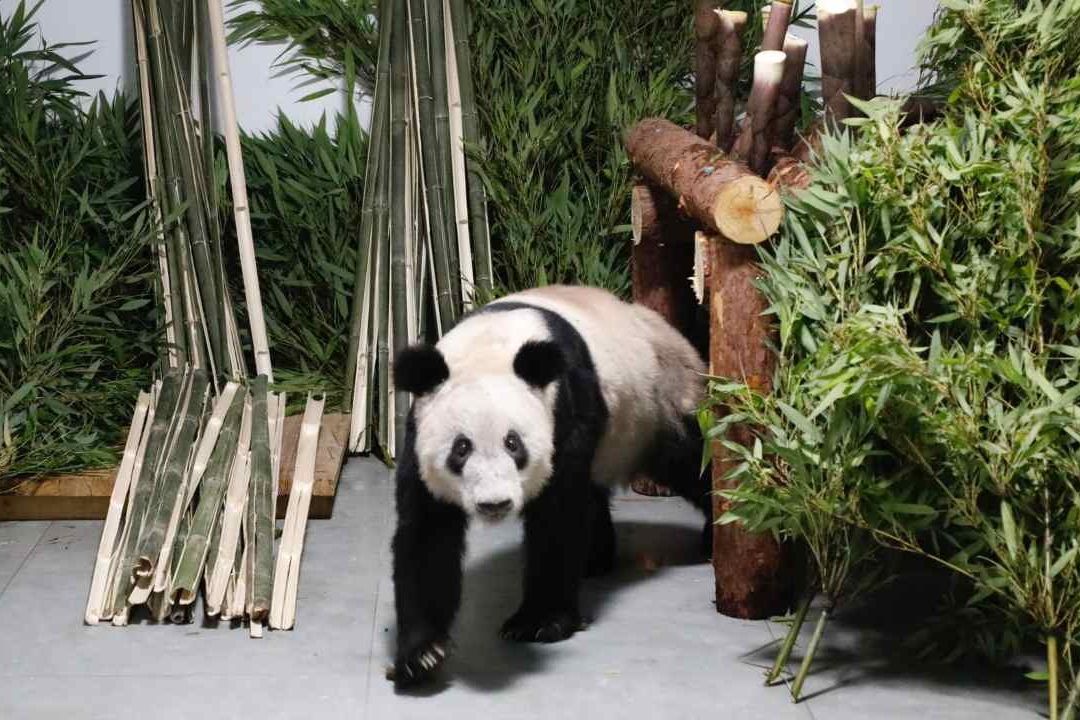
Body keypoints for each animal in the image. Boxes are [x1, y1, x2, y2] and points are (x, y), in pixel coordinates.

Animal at [388, 285, 710, 688]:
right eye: (461, 449)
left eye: (514, 444)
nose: (494, 504)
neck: (490, 344)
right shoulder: (419, 434)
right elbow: (428, 533)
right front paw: (422, 653)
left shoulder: (566, 409)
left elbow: (558, 516)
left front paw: (538, 623)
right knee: (594, 493)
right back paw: (594, 560)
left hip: (661, 401)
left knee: (693, 460)